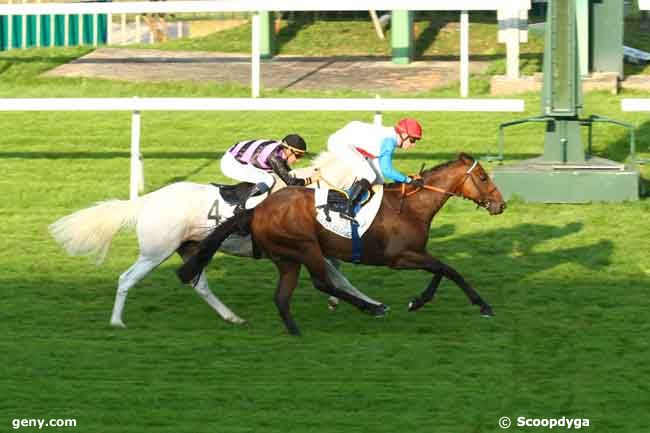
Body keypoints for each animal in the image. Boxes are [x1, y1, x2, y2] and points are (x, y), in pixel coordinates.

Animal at [48, 150, 380, 326]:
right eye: (372, 171)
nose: (376, 192)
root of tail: (146, 201)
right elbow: (339, 276)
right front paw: (371, 303)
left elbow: (339, 275)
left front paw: (351, 301)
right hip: (155, 252)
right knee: (126, 278)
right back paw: (117, 321)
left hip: (190, 248)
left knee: (200, 285)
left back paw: (232, 317)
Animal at [177, 152, 506, 334]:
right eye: (483, 176)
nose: (500, 205)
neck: (413, 207)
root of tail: (257, 209)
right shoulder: (401, 257)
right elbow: (449, 270)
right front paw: (483, 305)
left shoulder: (416, 253)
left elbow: (441, 270)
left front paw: (418, 300)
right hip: (306, 248)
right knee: (322, 283)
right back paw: (371, 308)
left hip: (287, 258)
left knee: (283, 297)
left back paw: (296, 332)